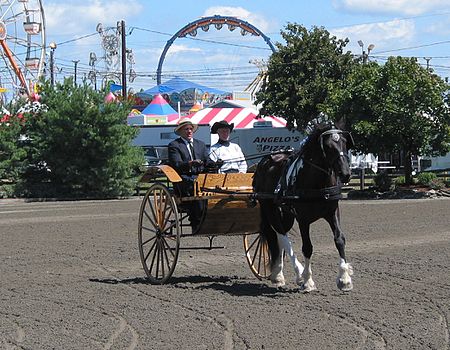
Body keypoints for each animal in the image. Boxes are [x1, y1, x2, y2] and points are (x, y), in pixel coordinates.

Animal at [253, 119, 356, 292]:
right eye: (328, 146)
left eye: (344, 143)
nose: (345, 174)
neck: (317, 183)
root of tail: (264, 161)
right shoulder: (303, 219)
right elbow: (307, 247)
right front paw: (308, 280)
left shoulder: (332, 212)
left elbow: (339, 239)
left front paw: (344, 279)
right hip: (269, 208)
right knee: (281, 235)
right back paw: (294, 274)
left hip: (285, 213)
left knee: (280, 236)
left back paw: (279, 274)